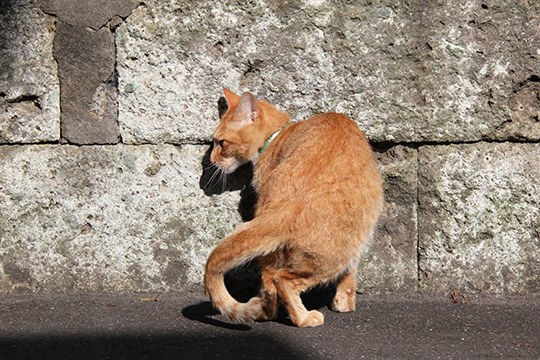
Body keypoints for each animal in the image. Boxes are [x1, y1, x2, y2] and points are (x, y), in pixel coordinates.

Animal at [204, 88, 384, 328]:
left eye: (221, 143)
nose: (212, 160)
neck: (278, 135)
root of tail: (287, 206)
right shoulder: (360, 237)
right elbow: (350, 273)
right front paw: (345, 303)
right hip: (333, 255)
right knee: (283, 280)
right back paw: (305, 318)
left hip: (275, 249)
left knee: (269, 280)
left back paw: (266, 311)